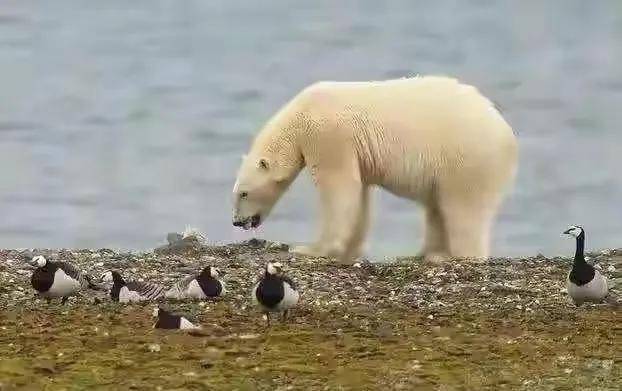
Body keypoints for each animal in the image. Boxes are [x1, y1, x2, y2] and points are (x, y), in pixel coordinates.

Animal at [232, 75, 520, 264]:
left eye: (243, 193)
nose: (237, 222)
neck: (300, 116)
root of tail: (506, 132)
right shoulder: (356, 152)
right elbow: (358, 196)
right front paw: (349, 252)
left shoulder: (328, 136)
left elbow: (338, 187)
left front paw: (309, 249)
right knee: (436, 206)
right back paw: (425, 254)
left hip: (466, 159)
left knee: (462, 209)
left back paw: (451, 256)